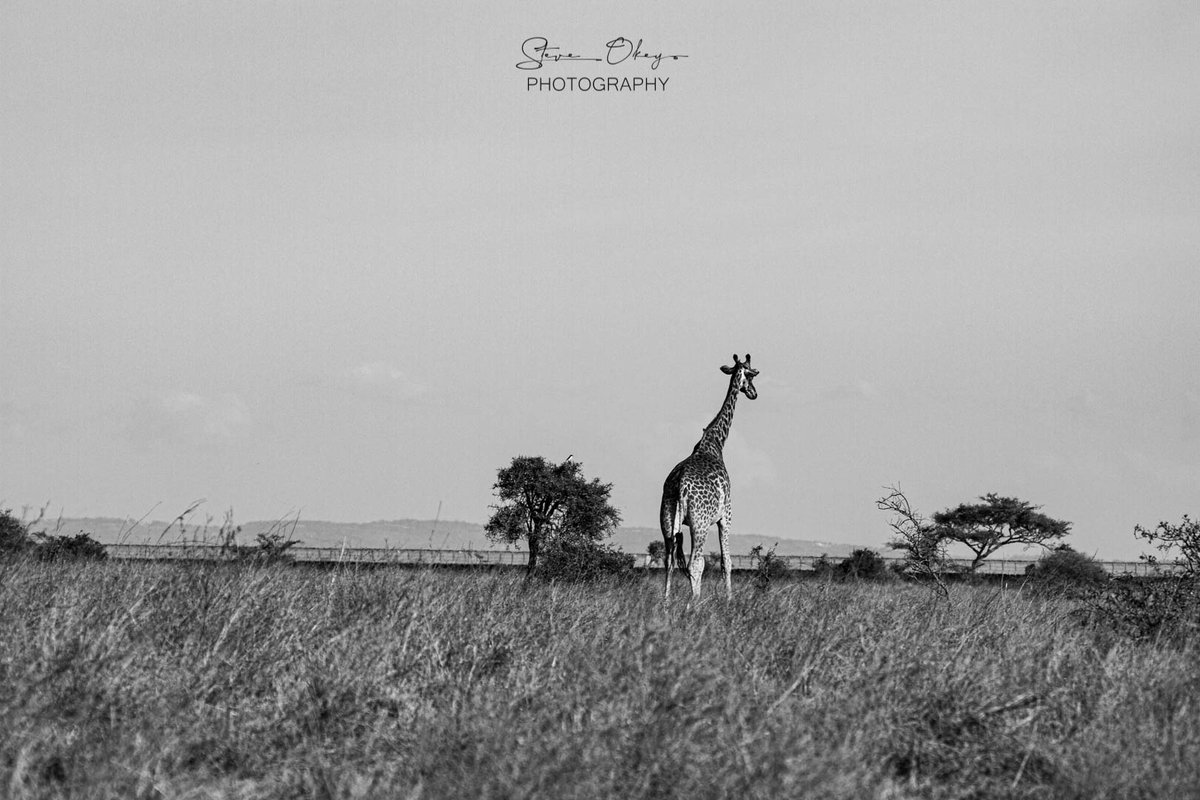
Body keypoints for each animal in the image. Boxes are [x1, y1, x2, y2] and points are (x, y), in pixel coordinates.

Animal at [657, 352, 758, 604]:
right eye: (751, 375)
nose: (754, 393)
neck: (715, 443)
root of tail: (680, 485)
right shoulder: (726, 516)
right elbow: (726, 562)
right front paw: (729, 600)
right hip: (699, 524)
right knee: (695, 563)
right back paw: (693, 604)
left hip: (667, 522)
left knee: (669, 562)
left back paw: (666, 603)